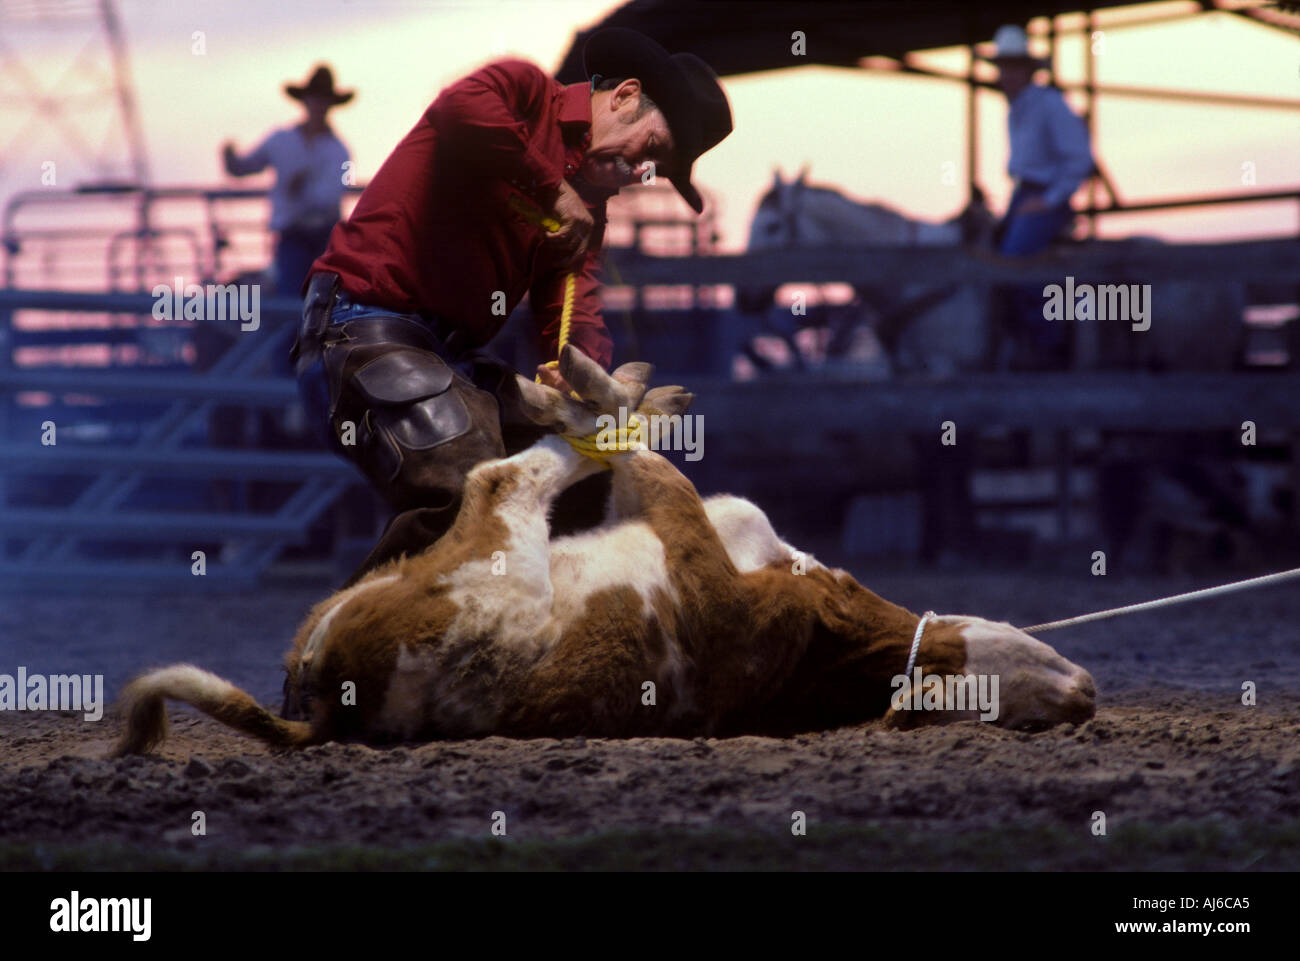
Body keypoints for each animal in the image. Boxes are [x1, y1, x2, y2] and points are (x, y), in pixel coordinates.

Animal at [114, 347, 1095, 755]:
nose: (1083, 696)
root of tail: (326, 694)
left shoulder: (684, 525)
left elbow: (641, 463)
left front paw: (599, 392)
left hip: (495, 553)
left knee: (505, 476)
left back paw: (597, 394)